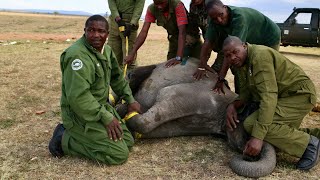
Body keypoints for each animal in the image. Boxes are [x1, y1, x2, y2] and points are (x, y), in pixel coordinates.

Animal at [116, 58, 276, 179]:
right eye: (251, 130)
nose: (249, 154)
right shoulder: (198, 95)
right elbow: (165, 95)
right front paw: (124, 111)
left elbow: (158, 129)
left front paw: (127, 114)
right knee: (129, 78)